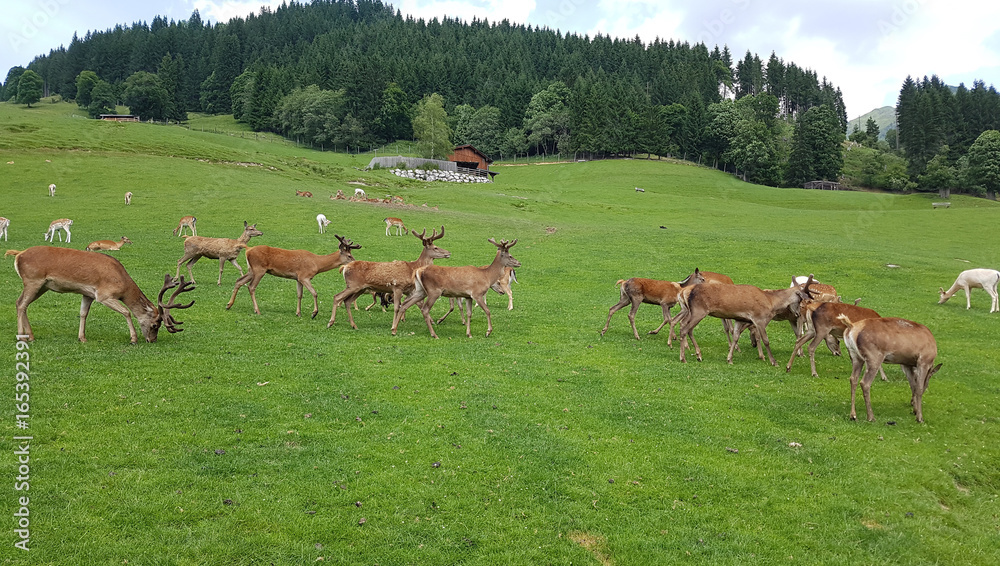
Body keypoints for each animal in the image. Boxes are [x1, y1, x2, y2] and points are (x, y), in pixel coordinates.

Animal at [8, 246, 194, 343]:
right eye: (155, 325)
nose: (152, 340)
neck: (122, 281)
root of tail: (18, 255)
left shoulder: (88, 294)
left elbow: (83, 313)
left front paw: (82, 338)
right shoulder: (104, 295)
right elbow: (126, 312)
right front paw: (133, 338)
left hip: (42, 286)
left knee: (21, 303)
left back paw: (30, 335)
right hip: (33, 281)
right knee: (21, 304)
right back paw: (21, 336)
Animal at [227, 234, 361, 317]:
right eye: (349, 255)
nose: (356, 262)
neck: (317, 264)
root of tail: (248, 249)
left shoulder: (298, 278)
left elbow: (299, 295)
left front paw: (298, 313)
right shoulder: (304, 276)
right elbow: (314, 293)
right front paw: (314, 313)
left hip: (252, 269)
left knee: (239, 281)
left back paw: (229, 305)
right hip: (259, 269)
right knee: (251, 287)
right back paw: (257, 310)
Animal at [391, 238, 520, 338]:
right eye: (510, 256)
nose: (519, 263)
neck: (487, 276)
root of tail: (419, 270)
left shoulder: (468, 296)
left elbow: (469, 313)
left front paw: (469, 334)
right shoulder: (477, 293)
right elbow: (488, 311)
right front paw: (488, 332)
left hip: (420, 290)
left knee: (405, 304)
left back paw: (394, 330)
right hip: (433, 291)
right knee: (424, 309)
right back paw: (434, 334)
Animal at [677, 276, 814, 365]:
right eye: (800, 300)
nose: (797, 313)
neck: (771, 302)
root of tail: (686, 292)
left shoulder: (740, 319)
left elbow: (736, 336)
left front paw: (729, 359)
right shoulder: (760, 318)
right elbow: (766, 340)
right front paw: (773, 361)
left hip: (693, 311)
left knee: (686, 327)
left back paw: (698, 355)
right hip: (699, 310)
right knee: (685, 329)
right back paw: (683, 358)